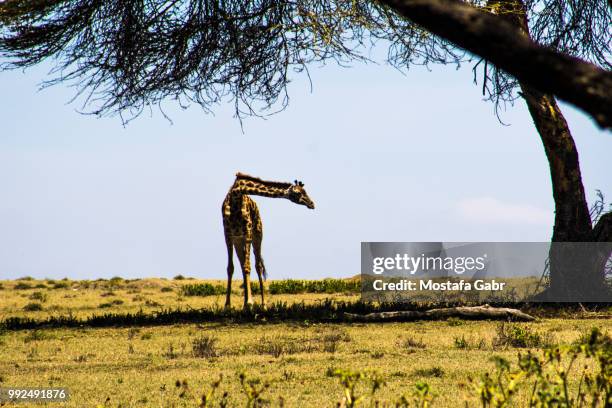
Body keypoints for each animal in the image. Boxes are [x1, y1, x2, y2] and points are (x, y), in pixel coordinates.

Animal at [222, 171, 316, 308]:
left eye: (305, 191)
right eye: (299, 193)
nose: (312, 204)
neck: (235, 196)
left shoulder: (247, 232)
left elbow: (248, 266)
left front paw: (249, 302)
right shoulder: (228, 234)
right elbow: (230, 268)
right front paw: (227, 305)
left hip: (258, 235)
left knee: (257, 266)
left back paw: (263, 304)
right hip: (238, 240)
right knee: (243, 264)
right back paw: (247, 302)